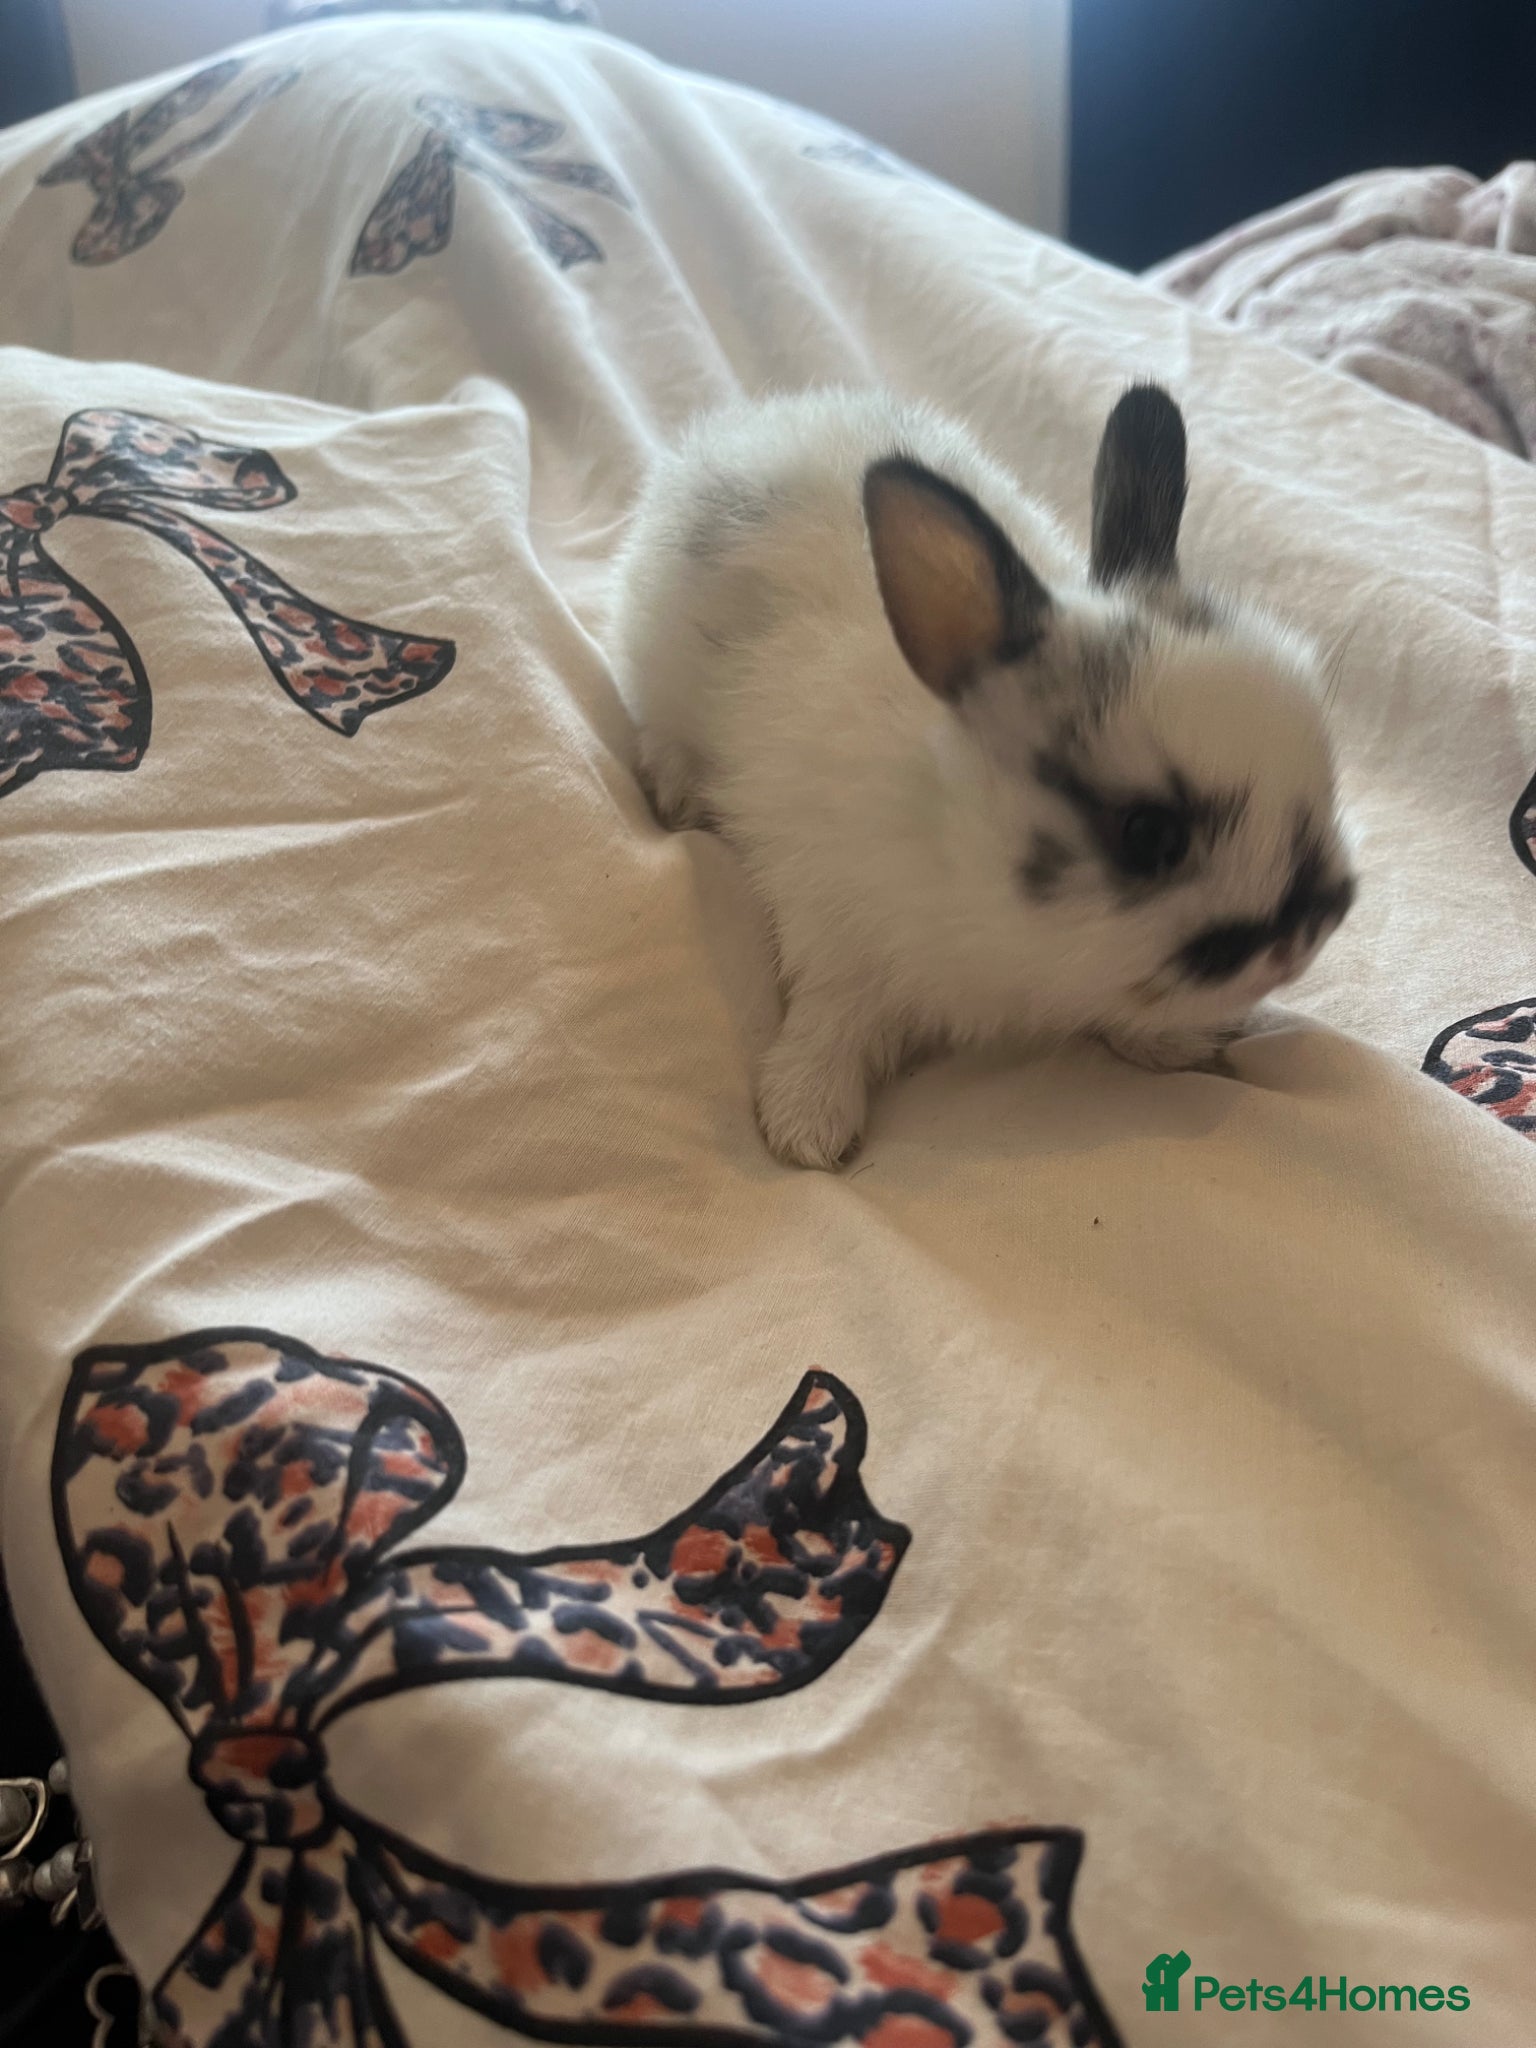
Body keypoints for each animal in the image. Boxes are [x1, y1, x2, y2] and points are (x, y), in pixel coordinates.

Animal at [612, 382, 1355, 1169]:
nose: (1313, 925)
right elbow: (831, 1019)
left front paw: (1183, 1043)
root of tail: (754, 426)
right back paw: (677, 790)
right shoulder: (835, 935)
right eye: (1151, 834)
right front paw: (806, 1125)